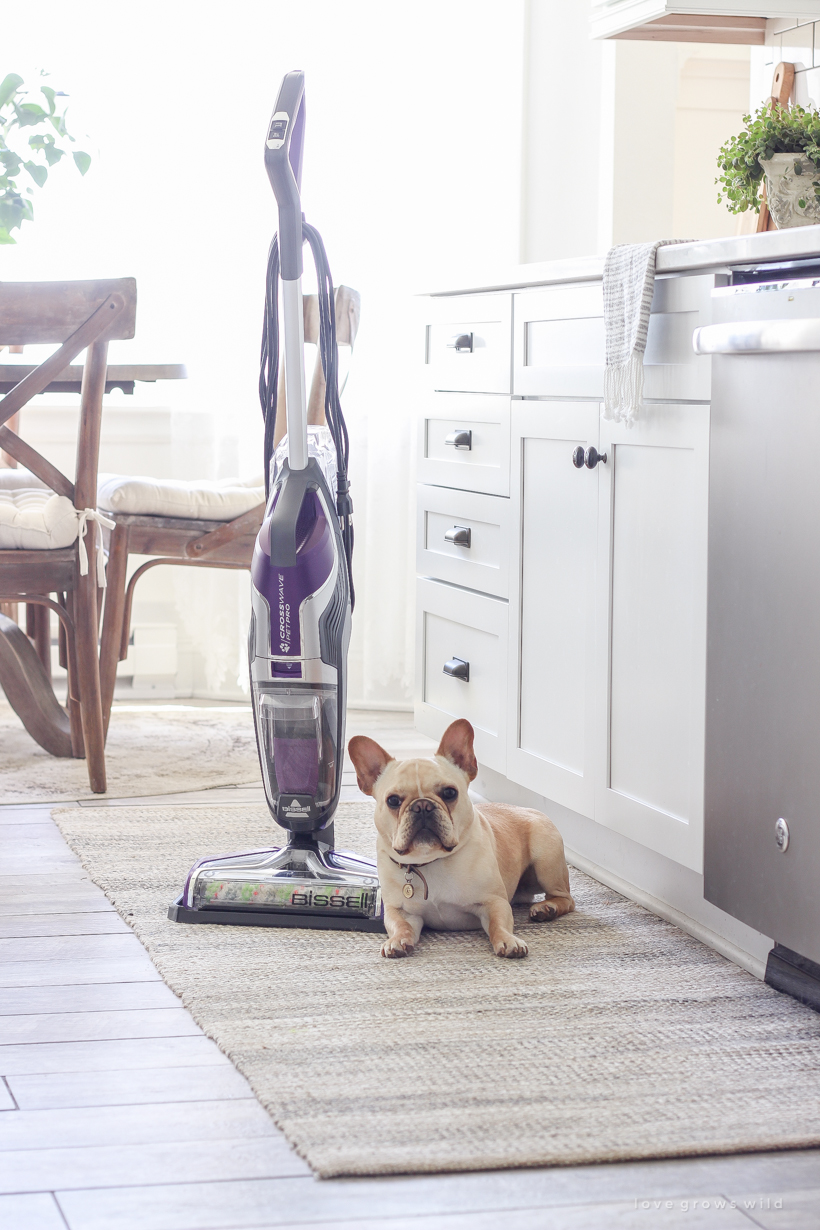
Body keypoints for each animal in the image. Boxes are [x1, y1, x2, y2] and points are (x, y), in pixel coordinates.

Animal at [349, 718, 575, 954]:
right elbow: (400, 925)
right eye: (393, 800)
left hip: (546, 861)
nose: (422, 806)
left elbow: (499, 924)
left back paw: (547, 908)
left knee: (565, 898)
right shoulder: (401, 911)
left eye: (450, 793)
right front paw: (397, 940)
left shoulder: (494, 902)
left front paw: (508, 940)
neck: (430, 861)